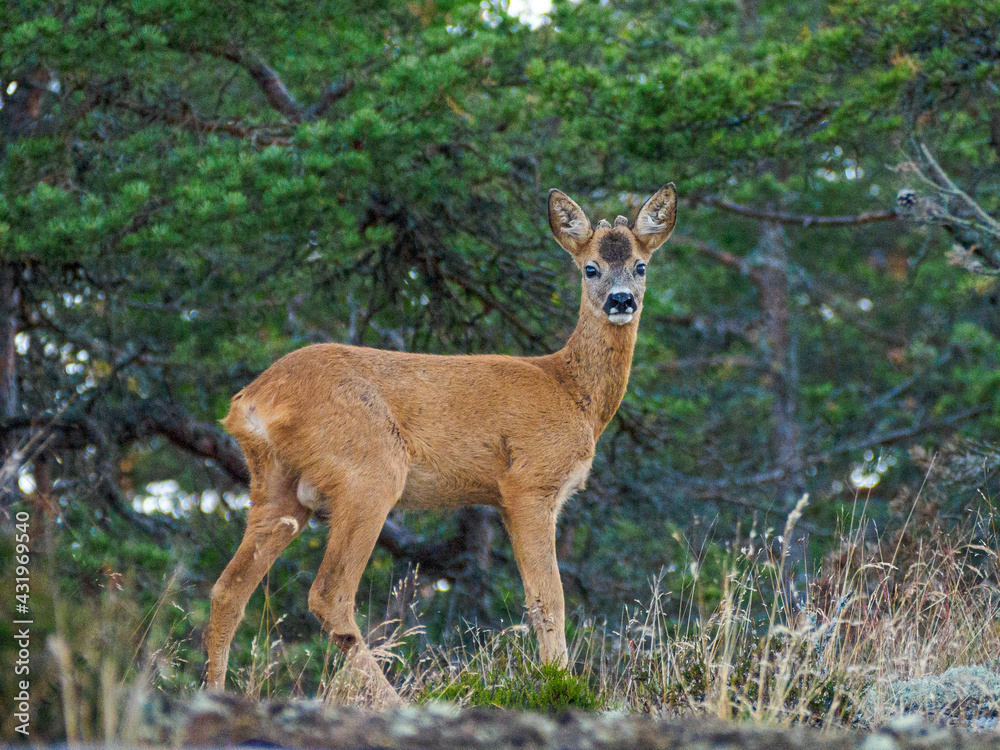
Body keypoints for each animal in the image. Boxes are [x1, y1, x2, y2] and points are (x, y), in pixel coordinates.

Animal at [207, 184, 684, 704]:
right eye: (590, 268)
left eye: (641, 265)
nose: (621, 300)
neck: (573, 392)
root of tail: (251, 401)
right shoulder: (530, 481)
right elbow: (549, 599)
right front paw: (560, 686)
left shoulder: (504, 499)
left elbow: (534, 598)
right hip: (369, 471)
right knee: (329, 592)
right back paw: (395, 701)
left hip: (278, 485)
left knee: (228, 589)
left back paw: (212, 691)